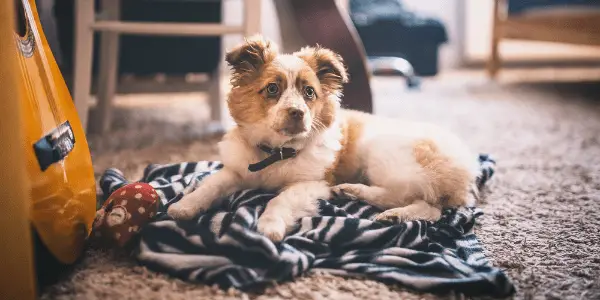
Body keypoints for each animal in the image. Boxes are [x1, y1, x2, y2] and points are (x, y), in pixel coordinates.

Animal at [168, 35, 478, 241]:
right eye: (272, 89)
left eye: (309, 92)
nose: (297, 113)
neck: (275, 153)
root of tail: (468, 167)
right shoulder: (236, 170)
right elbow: (211, 185)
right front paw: (184, 206)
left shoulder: (313, 183)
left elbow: (279, 200)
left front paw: (270, 226)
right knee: (426, 205)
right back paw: (364, 198)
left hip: (385, 155)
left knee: (420, 202)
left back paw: (377, 204)